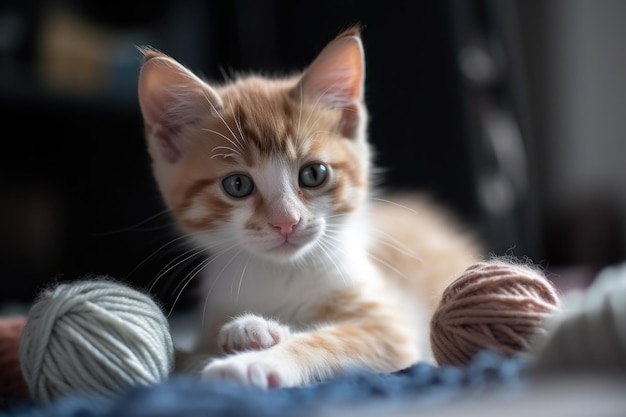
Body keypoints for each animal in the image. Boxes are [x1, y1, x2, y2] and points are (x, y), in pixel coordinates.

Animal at [136, 27, 478, 388]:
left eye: (314, 174)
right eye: (237, 185)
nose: (286, 221)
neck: (280, 273)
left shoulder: (390, 329)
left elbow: (329, 341)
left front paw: (255, 361)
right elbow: (190, 357)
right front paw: (251, 331)